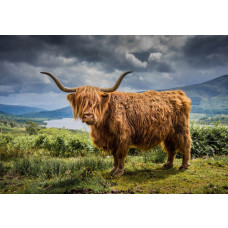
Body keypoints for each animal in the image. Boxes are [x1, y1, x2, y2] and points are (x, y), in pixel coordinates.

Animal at [41, 71, 192, 176]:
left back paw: (184, 166)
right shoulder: (110, 139)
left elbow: (120, 154)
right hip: (168, 132)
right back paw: (168, 164)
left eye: (96, 102)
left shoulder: (122, 137)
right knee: (171, 148)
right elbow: (114, 155)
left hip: (181, 129)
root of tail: (179, 93)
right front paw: (113, 169)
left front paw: (119, 171)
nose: (88, 116)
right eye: (80, 101)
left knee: (185, 145)